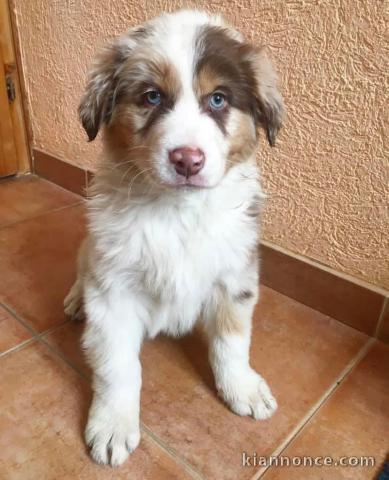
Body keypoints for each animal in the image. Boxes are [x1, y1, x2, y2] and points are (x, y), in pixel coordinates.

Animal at [63, 8, 282, 464]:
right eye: (151, 97)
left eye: (218, 99)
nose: (187, 160)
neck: (177, 212)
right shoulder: (112, 289)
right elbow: (117, 366)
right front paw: (112, 425)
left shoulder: (235, 274)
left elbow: (232, 339)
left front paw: (243, 388)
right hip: (91, 252)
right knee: (80, 268)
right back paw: (75, 300)